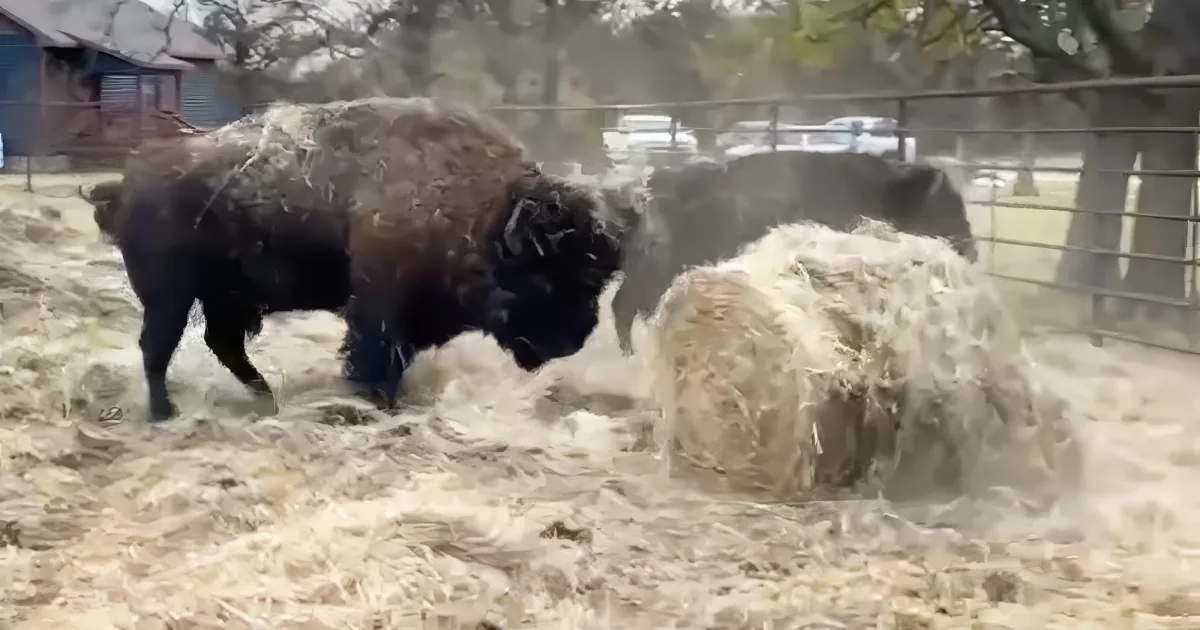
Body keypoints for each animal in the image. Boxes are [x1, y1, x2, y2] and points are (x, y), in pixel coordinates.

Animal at [86, 98, 623, 422]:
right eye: (549, 275)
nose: (577, 338)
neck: (480, 210)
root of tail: (127, 184)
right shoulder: (381, 306)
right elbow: (375, 355)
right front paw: (378, 402)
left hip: (223, 298)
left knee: (221, 343)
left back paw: (266, 397)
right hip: (170, 297)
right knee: (158, 348)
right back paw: (165, 413)